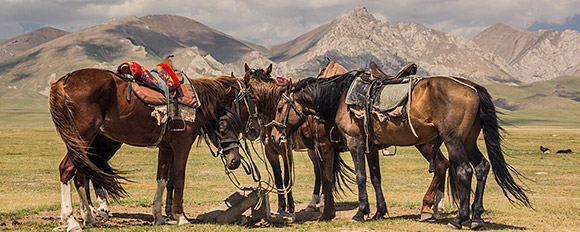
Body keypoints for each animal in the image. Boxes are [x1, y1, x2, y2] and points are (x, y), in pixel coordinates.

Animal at [270, 70, 532, 228]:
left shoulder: (355, 142)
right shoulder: (371, 147)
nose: (273, 135)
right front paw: (379, 212)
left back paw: (459, 219)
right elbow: (376, 178)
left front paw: (360, 213)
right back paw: (476, 217)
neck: (341, 98)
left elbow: (361, 177)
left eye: (281, 106)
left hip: (454, 140)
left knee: (464, 171)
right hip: (468, 141)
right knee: (482, 167)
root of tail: (473, 87)